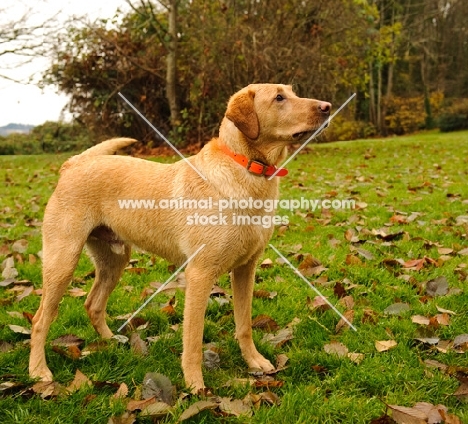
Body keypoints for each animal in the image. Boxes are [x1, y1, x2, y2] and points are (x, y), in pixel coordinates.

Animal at [29, 84, 330, 392]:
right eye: (279, 98)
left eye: (292, 92)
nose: (328, 107)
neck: (245, 169)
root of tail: (73, 164)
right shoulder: (199, 274)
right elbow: (193, 339)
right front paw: (195, 384)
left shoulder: (246, 269)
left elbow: (244, 324)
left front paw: (254, 361)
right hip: (63, 262)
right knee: (40, 319)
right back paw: (39, 371)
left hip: (114, 260)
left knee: (93, 304)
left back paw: (110, 341)